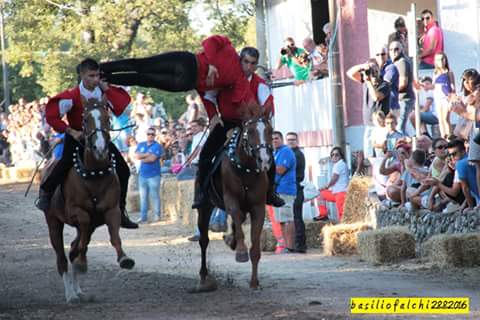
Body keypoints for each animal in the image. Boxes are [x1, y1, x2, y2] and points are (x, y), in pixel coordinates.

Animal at [42, 97, 134, 302]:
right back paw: (70, 295)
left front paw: (124, 259)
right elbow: (82, 230)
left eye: (108, 118)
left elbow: (114, 236)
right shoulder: (76, 212)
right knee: (62, 258)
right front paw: (82, 263)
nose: (100, 148)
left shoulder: (112, 210)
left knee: (73, 249)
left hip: (89, 226)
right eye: (85, 119)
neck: (94, 175)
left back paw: (77, 289)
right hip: (53, 222)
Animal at [193, 110, 272, 292]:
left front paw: (254, 282)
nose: (265, 160)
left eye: (270, 131)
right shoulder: (231, 202)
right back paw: (203, 278)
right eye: (250, 131)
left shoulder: (258, 208)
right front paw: (241, 252)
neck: (246, 169)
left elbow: (255, 248)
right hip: (205, 207)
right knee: (204, 241)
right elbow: (237, 217)